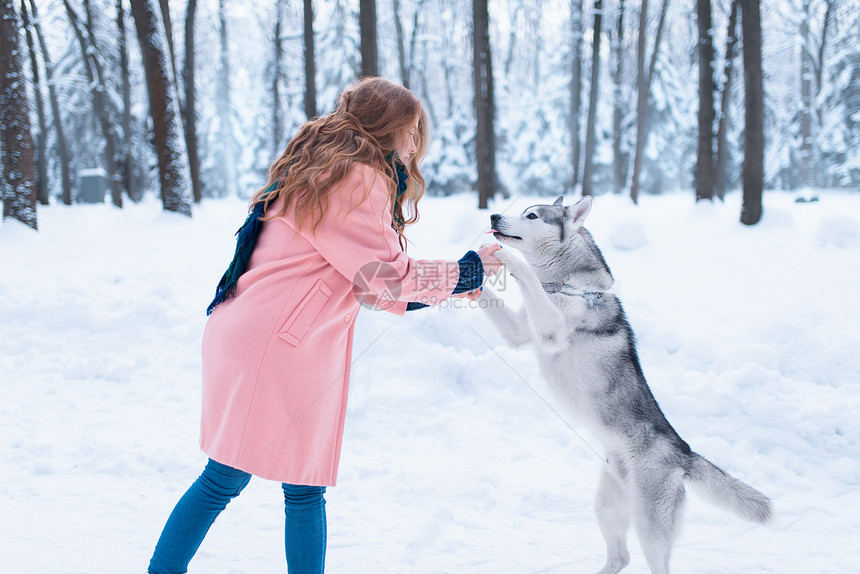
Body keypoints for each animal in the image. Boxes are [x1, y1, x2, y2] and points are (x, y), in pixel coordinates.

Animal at [478, 197, 772, 574]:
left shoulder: (551, 331)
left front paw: (506, 259)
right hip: (608, 504)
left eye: (531, 215)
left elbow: (527, 276)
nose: (493, 215)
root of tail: (683, 452)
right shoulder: (520, 332)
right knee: (621, 556)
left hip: (649, 525)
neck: (569, 285)